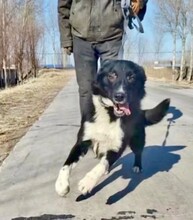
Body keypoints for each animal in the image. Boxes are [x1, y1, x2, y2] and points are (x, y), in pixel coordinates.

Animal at [55, 59, 170, 196]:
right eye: (111, 75)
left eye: (131, 77)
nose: (119, 96)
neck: (110, 113)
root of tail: (141, 112)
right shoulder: (82, 142)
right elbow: (66, 164)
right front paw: (61, 184)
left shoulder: (117, 147)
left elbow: (101, 165)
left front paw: (88, 182)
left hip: (137, 141)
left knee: (138, 152)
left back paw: (137, 166)